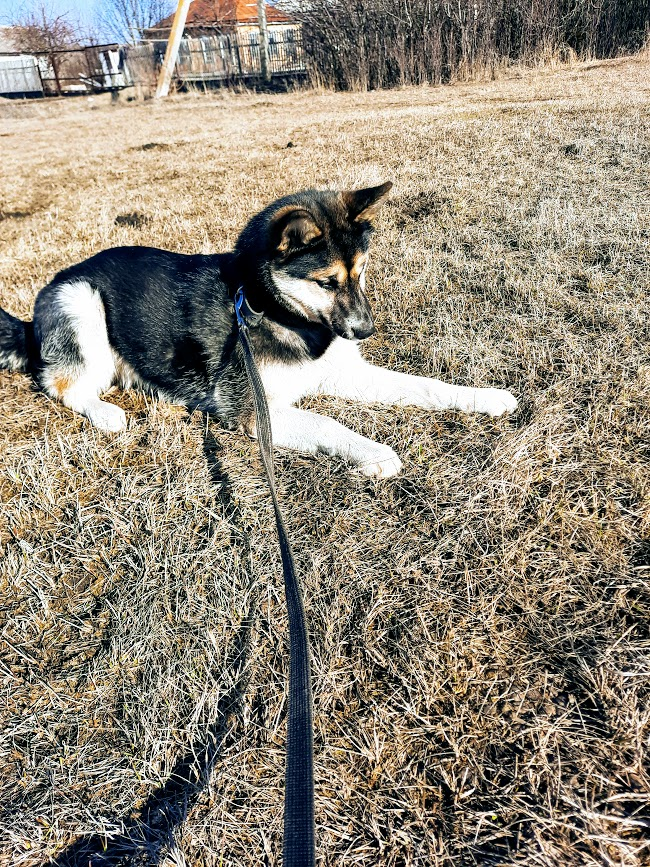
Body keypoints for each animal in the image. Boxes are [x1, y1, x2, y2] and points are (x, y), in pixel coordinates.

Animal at [0, 185, 516, 482]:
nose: (365, 331)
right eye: (327, 282)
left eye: (362, 272)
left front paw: (485, 398)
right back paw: (105, 412)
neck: (271, 307)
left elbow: (426, 386)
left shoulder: (346, 373)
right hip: (82, 301)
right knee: (60, 383)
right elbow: (326, 423)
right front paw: (373, 451)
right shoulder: (258, 412)